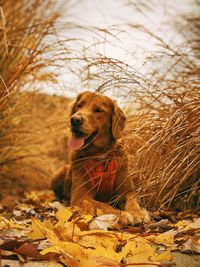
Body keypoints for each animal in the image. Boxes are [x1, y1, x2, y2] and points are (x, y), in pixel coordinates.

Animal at [52, 91, 149, 224]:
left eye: (98, 110)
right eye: (79, 105)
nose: (75, 120)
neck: (101, 156)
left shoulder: (127, 192)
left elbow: (132, 202)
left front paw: (139, 213)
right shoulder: (80, 197)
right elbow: (103, 205)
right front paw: (121, 214)